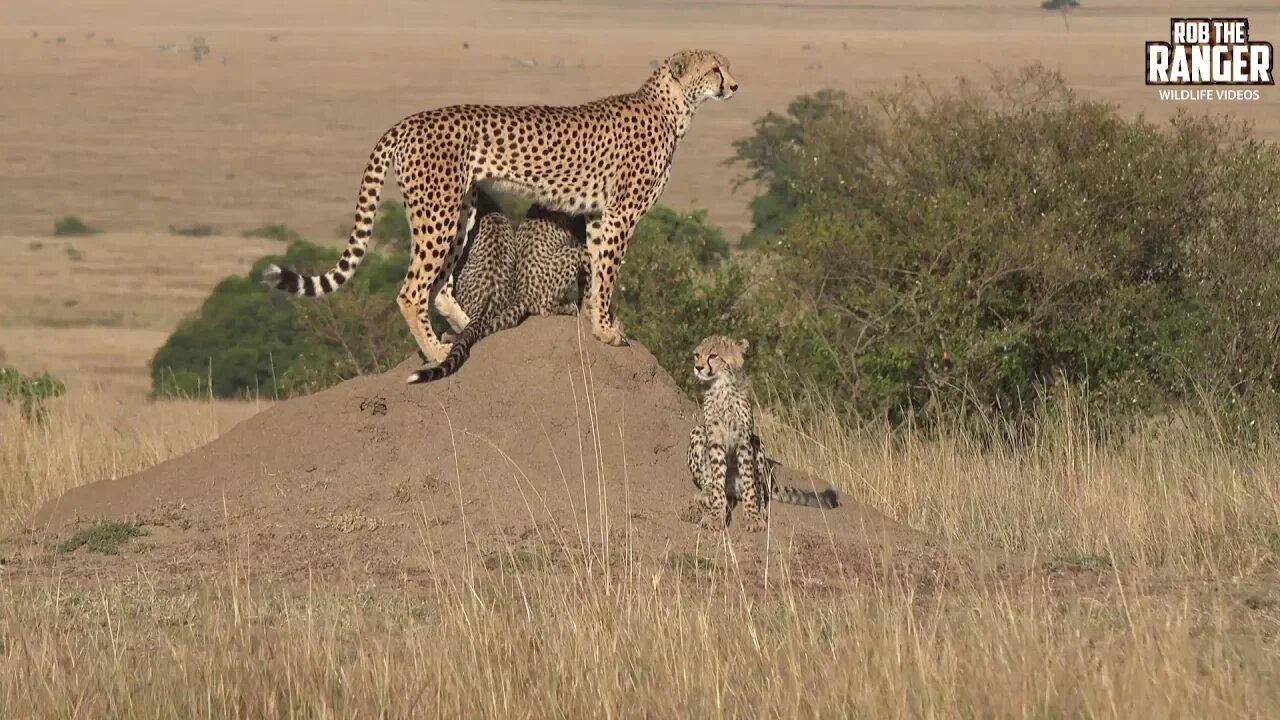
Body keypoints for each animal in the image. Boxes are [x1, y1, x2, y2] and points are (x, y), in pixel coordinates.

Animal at [261, 49, 742, 381]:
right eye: (714, 69)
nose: (736, 86)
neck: (673, 107)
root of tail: (406, 121)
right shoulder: (620, 215)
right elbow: (607, 275)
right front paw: (606, 331)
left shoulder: (596, 216)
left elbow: (596, 274)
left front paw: (596, 321)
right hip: (437, 212)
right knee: (412, 291)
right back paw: (437, 353)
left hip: (463, 210)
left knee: (441, 289)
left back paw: (468, 329)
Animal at [691, 333, 839, 530]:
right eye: (696, 355)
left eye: (713, 355)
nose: (698, 367)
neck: (721, 388)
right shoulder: (715, 440)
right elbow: (717, 482)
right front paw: (715, 515)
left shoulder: (744, 442)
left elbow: (749, 482)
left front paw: (752, 517)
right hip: (698, 431)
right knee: (707, 479)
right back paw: (705, 493)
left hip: (758, 444)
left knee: (760, 488)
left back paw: (760, 509)